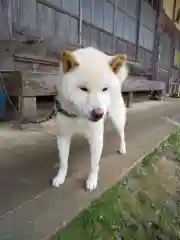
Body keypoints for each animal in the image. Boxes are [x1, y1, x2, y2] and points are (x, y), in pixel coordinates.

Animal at [52, 47, 128, 190]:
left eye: (104, 89)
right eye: (83, 89)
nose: (99, 113)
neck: (78, 115)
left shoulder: (96, 137)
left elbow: (94, 165)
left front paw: (92, 181)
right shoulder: (63, 136)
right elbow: (63, 162)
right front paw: (60, 177)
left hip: (117, 120)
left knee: (122, 134)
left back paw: (122, 147)